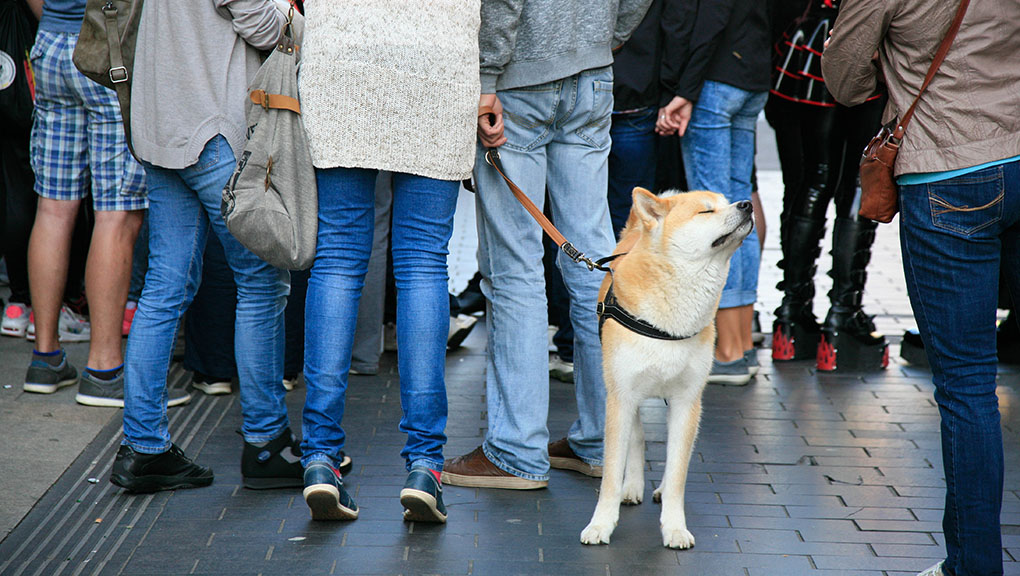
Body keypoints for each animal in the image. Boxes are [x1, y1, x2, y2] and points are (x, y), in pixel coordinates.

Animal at [583, 188, 750, 546]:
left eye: (727, 202)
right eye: (705, 211)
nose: (746, 205)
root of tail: (636, 230)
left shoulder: (687, 402)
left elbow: (677, 472)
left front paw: (674, 527)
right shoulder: (621, 397)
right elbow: (612, 471)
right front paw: (601, 524)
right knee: (638, 437)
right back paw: (631, 487)